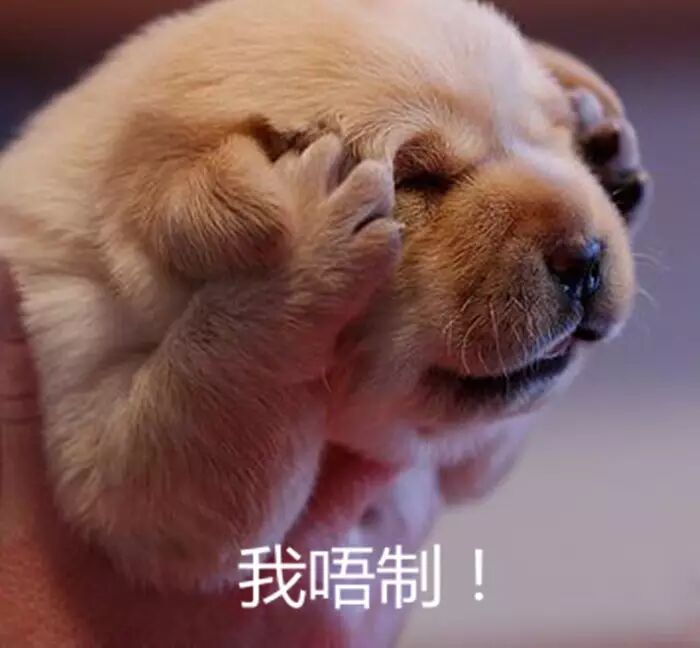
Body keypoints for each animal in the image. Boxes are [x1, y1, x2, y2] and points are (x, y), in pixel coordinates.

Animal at [0, 0, 648, 589]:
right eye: (417, 178)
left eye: (559, 143)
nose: (584, 257)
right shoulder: (89, 414)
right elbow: (202, 421)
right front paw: (298, 254)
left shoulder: (467, 459)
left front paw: (604, 144)